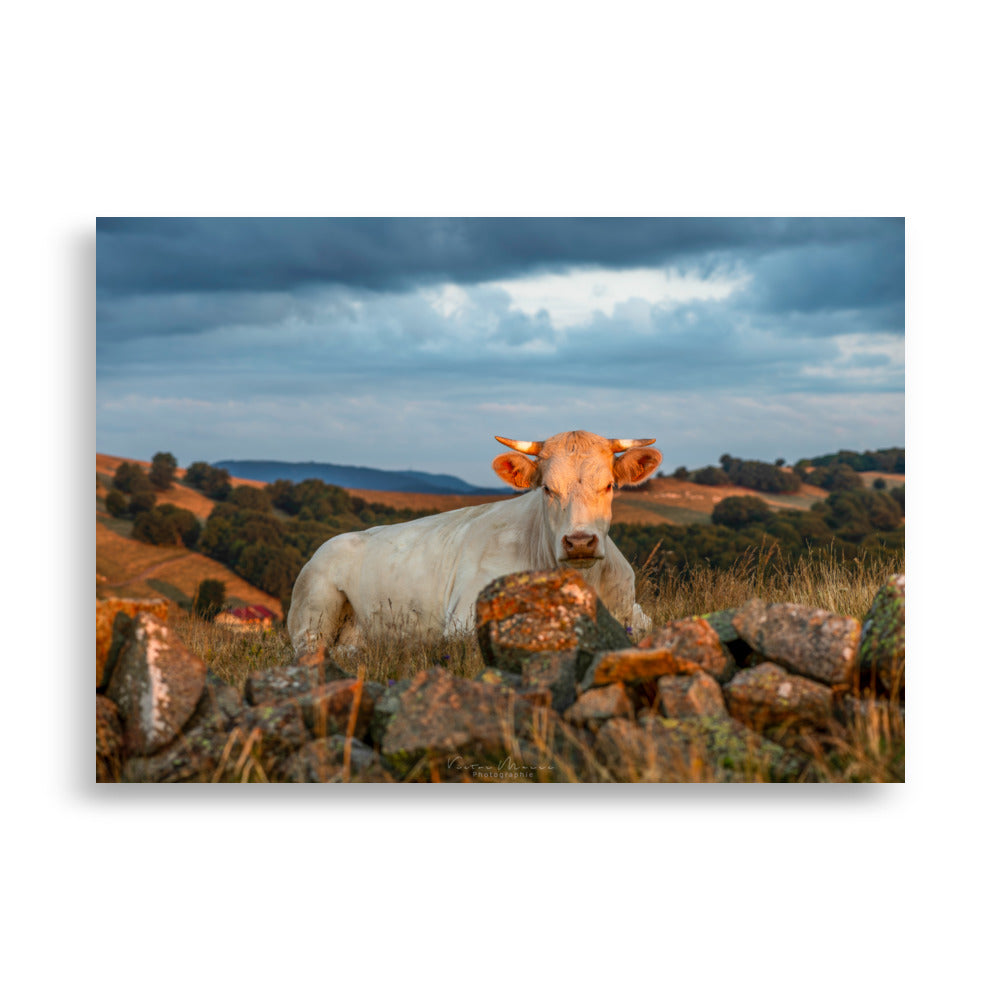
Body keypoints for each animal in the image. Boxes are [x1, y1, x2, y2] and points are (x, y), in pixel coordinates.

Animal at [288, 432, 664, 656]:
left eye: (609, 485)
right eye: (547, 488)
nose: (580, 541)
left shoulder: (633, 610)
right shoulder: (464, 620)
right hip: (313, 607)